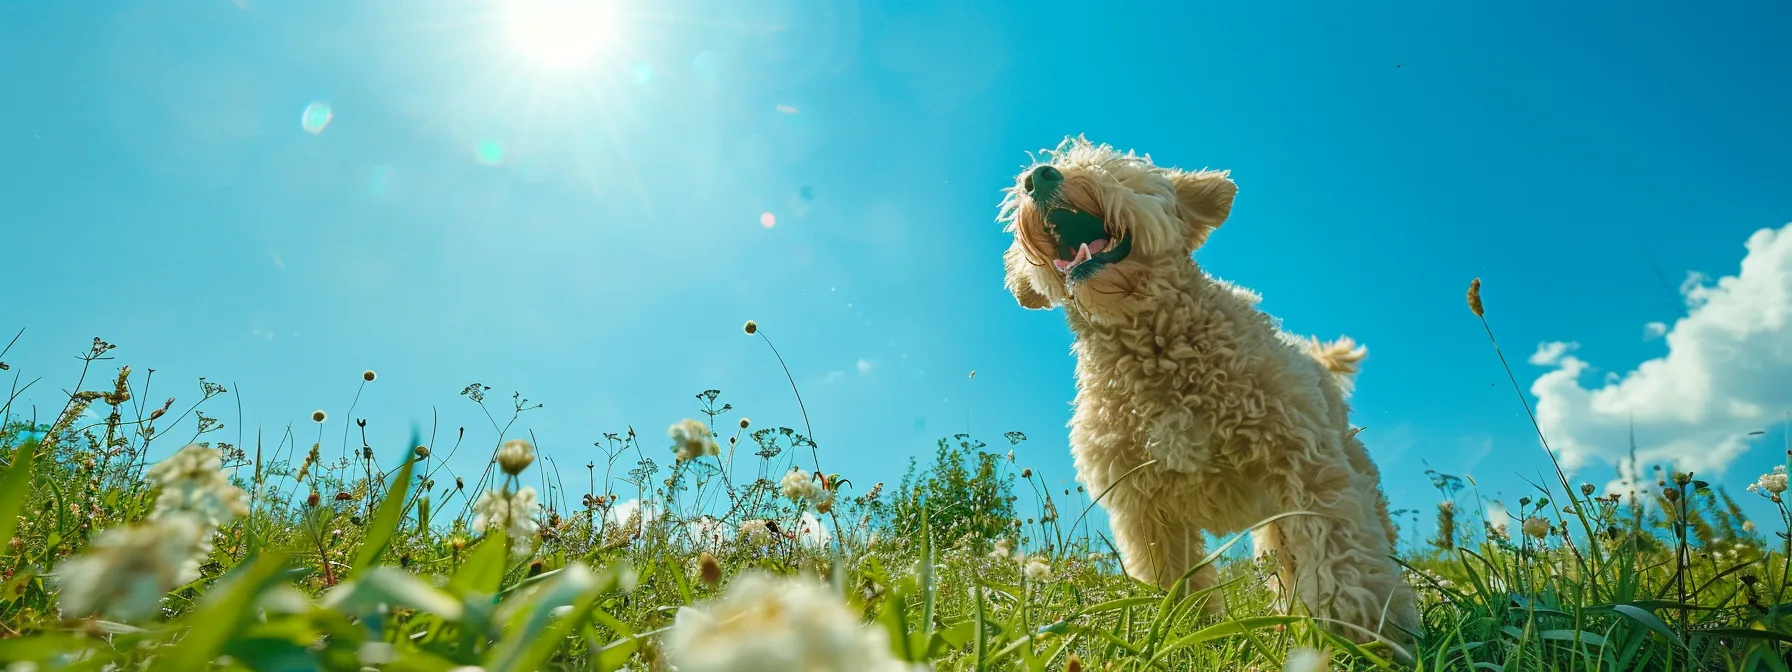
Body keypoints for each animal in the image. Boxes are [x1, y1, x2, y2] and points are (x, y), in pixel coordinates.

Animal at [1003, 135, 1419, 648]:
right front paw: (1187, 633)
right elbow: (1172, 578)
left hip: (1345, 477)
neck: (1153, 347)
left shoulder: (1302, 463)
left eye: (1116, 173)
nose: (1037, 178)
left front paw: (1361, 630)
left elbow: (1340, 550)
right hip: (1273, 530)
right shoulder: (1145, 508)